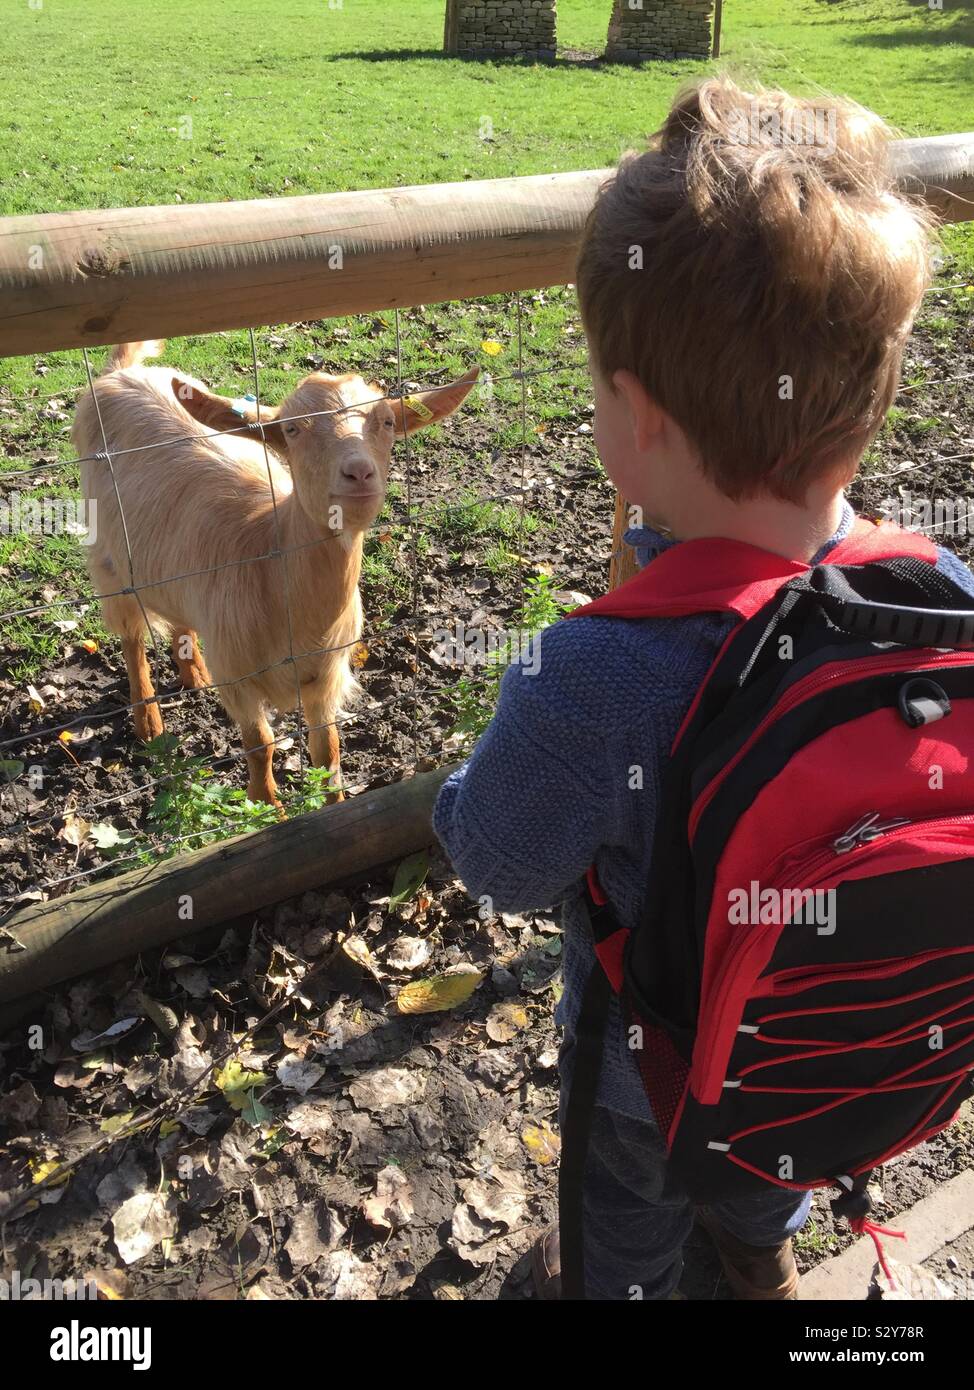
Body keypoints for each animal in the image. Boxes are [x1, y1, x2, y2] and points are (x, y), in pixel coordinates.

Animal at [71, 337, 475, 811]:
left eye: (388, 421)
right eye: (293, 430)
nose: (359, 472)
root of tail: (119, 373)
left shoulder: (326, 674)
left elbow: (328, 751)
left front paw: (334, 806)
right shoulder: (239, 677)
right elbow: (260, 745)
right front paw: (267, 808)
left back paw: (194, 674)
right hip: (110, 561)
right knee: (132, 638)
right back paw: (148, 721)